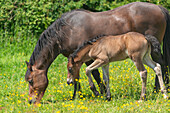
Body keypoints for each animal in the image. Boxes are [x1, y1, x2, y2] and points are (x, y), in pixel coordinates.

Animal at [25, 1, 170, 104]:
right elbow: (80, 76)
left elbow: (93, 74)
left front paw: (98, 92)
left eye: (31, 81)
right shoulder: (76, 60)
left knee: (161, 65)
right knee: (159, 66)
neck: (65, 31)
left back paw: (157, 90)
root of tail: (159, 8)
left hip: (151, 51)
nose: (31, 101)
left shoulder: (87, 59)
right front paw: (79, 96)